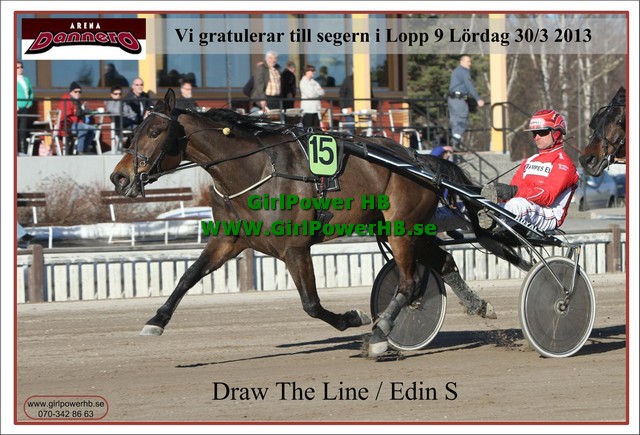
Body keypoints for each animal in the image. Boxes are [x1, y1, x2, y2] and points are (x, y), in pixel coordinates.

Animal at [110, 89, 496, 357]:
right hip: (399, 228)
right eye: (134, 130)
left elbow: (311, 304)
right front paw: (156, 321)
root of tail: (420, 160)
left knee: (410, 283)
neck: (252, 170)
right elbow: (188, 276)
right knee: (442, 261)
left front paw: (352, 319)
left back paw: (380, 332)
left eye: (156, 131)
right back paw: (479, 305)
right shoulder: (229, 239)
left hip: (402, 228)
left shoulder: (295, 248)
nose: (119, 177)